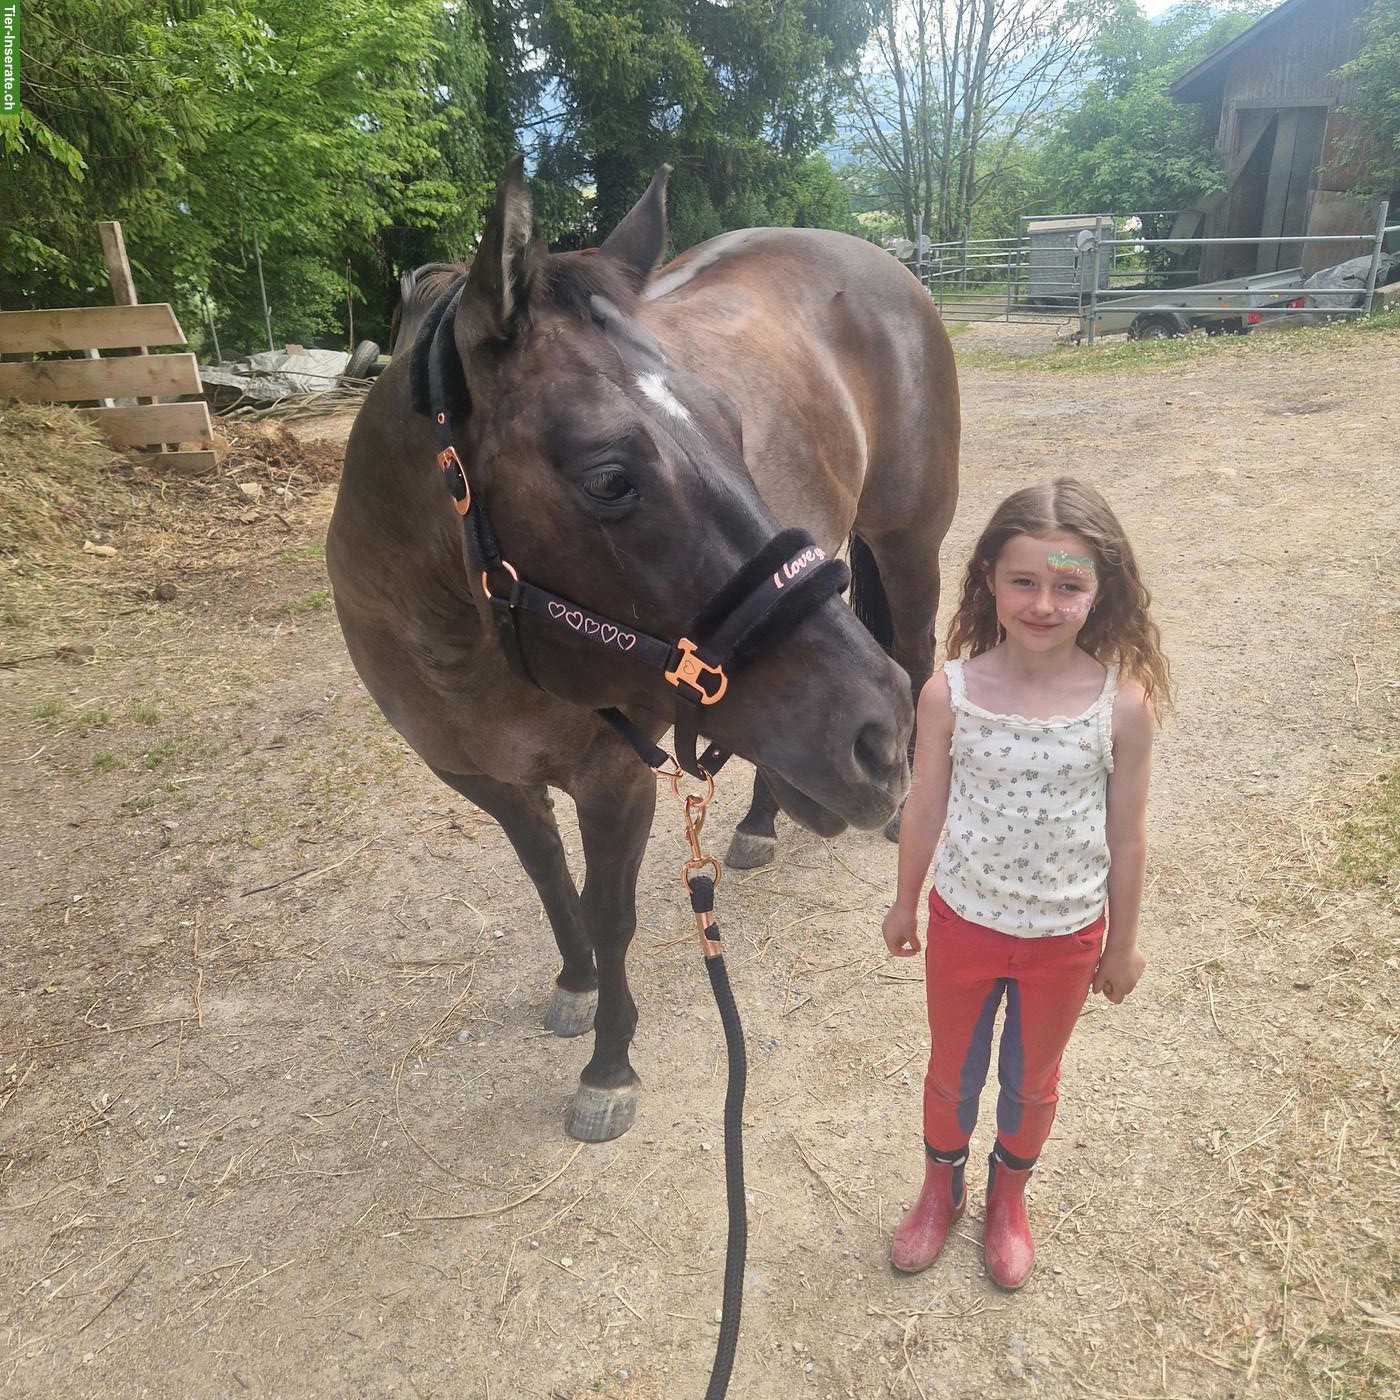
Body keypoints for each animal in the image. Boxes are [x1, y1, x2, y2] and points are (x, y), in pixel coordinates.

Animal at [327, 158, 959, 1142]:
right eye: (610, 479)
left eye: (731, 422)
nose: (876, 737)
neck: (467, 645)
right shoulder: (480, 777)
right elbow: (549, 878)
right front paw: (575, 981)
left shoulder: (615, 775)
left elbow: (609, 909)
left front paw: (609, 1065)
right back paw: (760, 821)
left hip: (904, 542)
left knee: (923, 652)